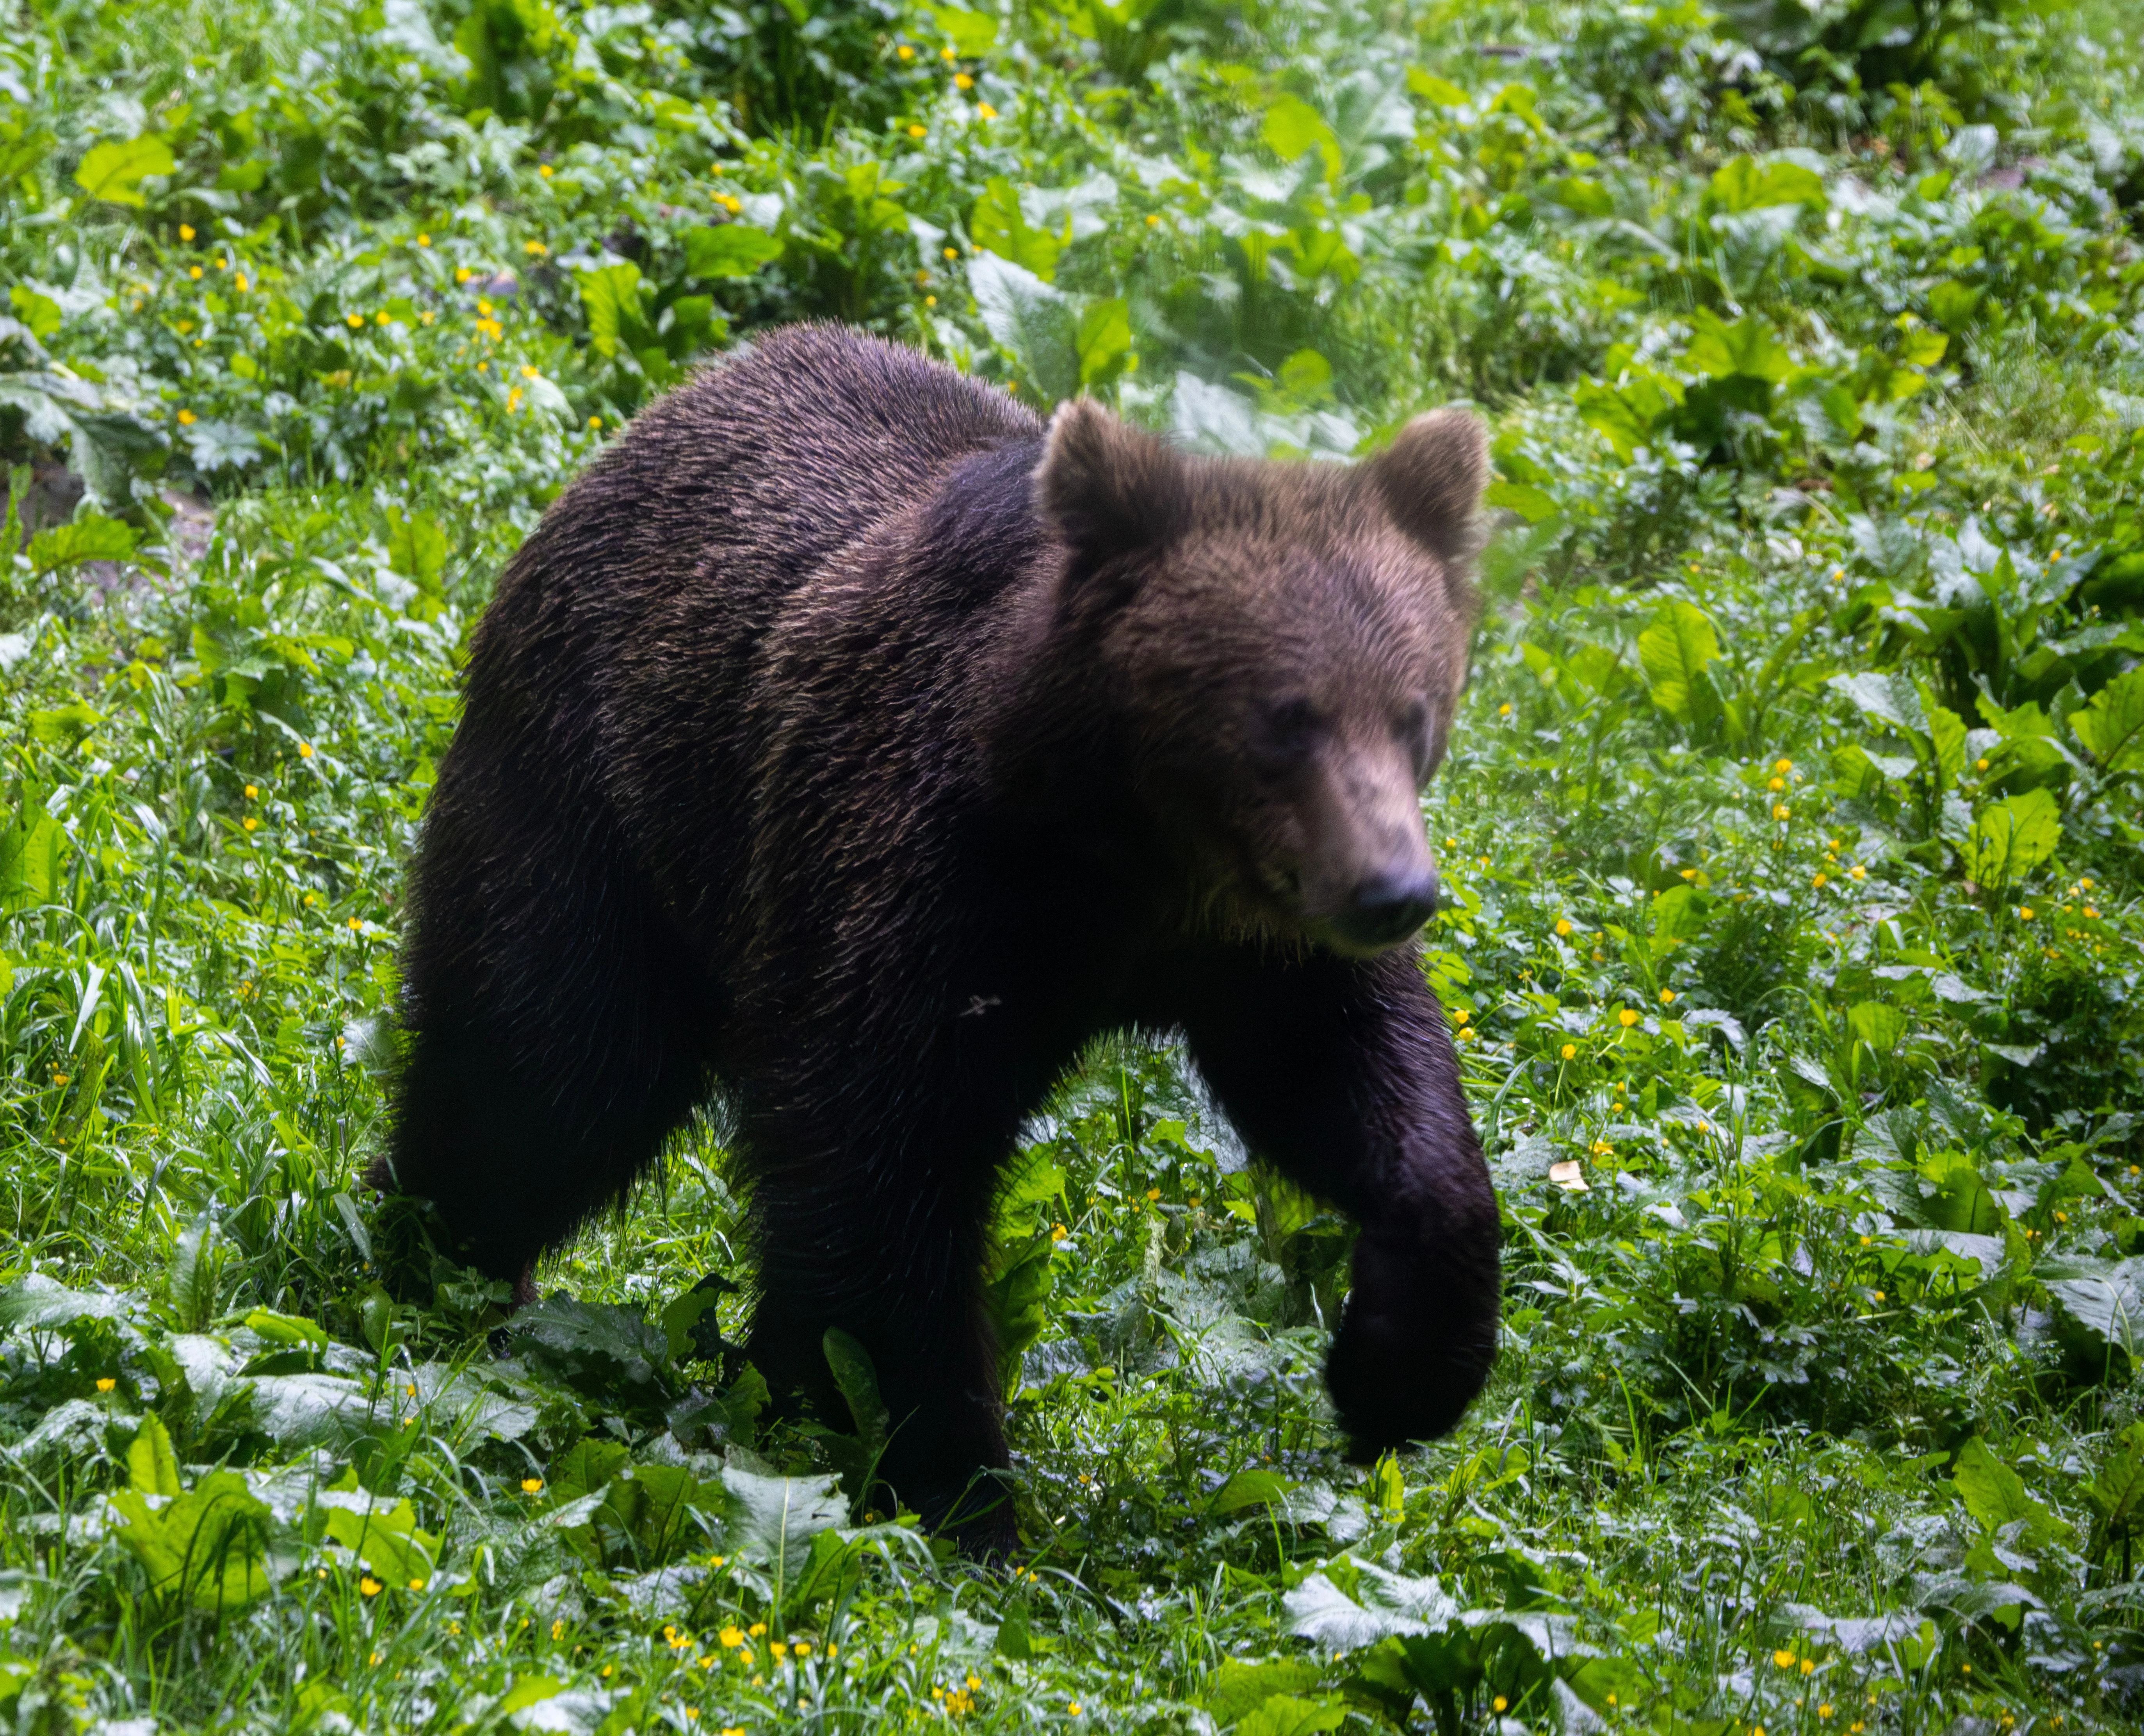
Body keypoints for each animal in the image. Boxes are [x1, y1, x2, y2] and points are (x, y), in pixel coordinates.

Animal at [374, 324, 1499, 1548]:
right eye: (1285, 717)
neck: (1119, 846)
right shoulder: (921, 878)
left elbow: (1358, 1080)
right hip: (602, 812)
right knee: (545, 1070)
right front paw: (955, 1491)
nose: (1392, 890)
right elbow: (875, 1171)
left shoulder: (1251, 951)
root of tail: (646, 423)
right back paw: (442, 1273)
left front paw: (1397, 1368)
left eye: (1415, 709)